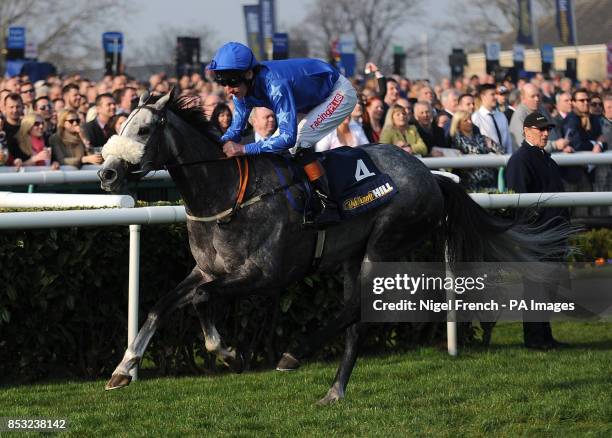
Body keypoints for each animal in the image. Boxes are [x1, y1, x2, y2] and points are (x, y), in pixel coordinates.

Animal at [98, 91, 572, 404]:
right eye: (119, 126)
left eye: (143, 129)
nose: (105, 173)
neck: (228, 194)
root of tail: (431, 175)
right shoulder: (208, 270)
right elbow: (162, 304)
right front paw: (123, 368)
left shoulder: (265, 275)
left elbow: (199, 301)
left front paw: (228, 352)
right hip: (351, 256)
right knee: (355, 316)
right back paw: (334, 388)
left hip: (385, 241)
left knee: (359, 306)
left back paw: (296, 354)